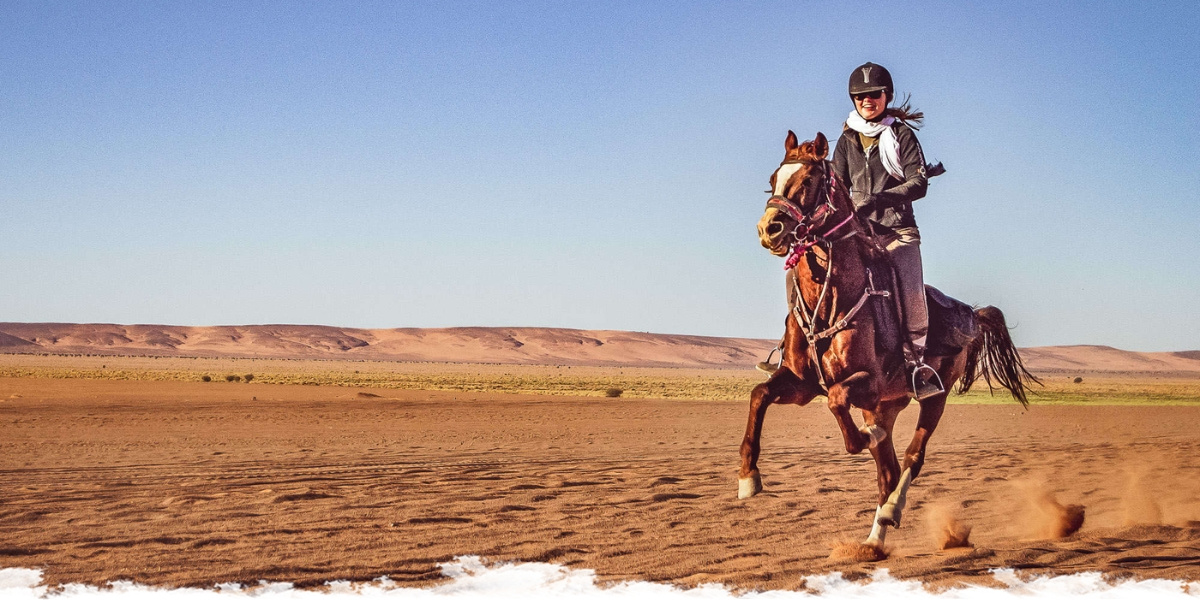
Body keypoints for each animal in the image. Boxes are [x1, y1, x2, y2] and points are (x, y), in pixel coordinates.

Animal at [734, 130, 1036, 552]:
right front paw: (749, 478)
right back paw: (873, 540)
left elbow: (837, 401)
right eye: (773, 179)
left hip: (931, 396)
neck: (833, 298)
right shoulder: (802, 383)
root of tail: (971, 315)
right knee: (888, 471)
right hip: (887, 405)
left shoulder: (867, 383)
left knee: (911, 459)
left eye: (808, 181)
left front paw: (863, 437)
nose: (769, 228)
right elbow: (759, 394)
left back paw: (891, 511)